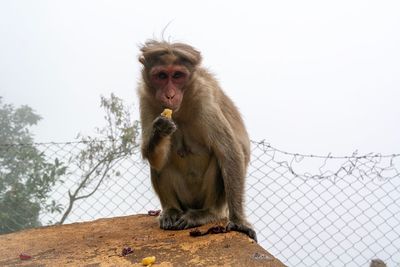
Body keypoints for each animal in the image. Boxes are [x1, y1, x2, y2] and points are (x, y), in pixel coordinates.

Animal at [137, 39, 256, 243]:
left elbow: (229, 152)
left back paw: (207, 213)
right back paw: (171, 211)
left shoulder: (204, 99)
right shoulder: (145, 97)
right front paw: (160, 129)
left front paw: (239, 222)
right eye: (161, 76)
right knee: (160, 164)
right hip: (184, 200)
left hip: (210, 202)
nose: (169, 95)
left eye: (177, 75)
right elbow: (153, 157)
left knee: (219, 158)